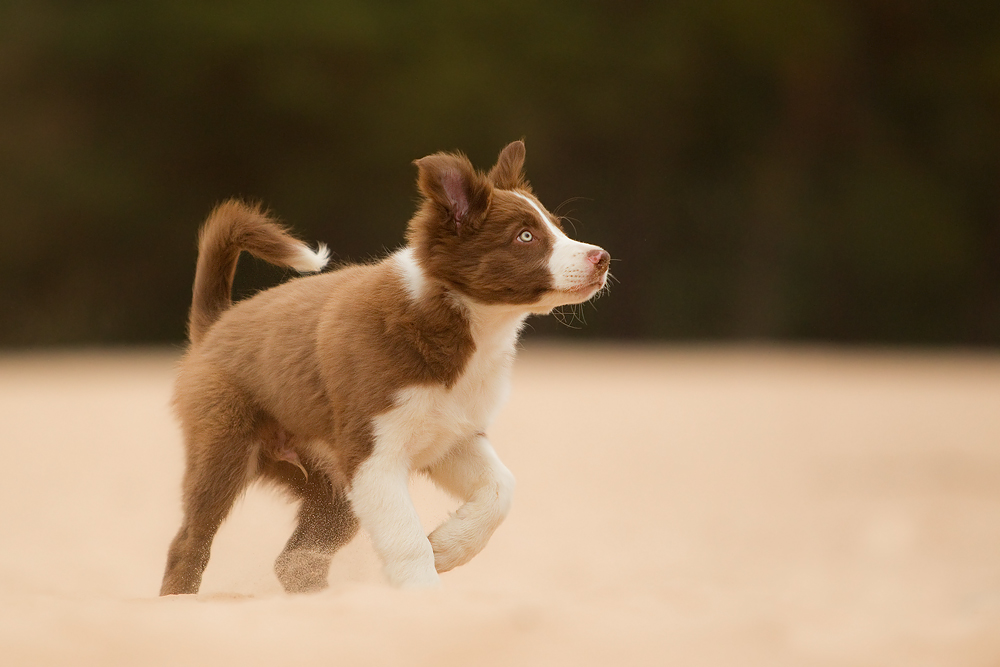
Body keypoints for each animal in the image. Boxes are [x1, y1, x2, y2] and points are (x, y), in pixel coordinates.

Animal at [159, 140, 608, 596]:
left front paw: (447, 548)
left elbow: (501, 487)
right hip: (224, 442)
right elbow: (405, 536)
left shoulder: (453, 435)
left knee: (296, 558)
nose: (602, 257)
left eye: (557, 227)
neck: (463, 325)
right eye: (525, 236)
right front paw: (425, 591)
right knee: (190, 542)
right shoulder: (374, 453)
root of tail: (214, 325)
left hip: (326, 484)